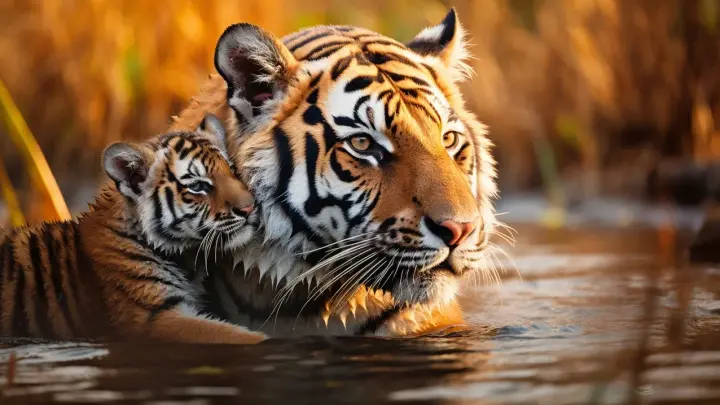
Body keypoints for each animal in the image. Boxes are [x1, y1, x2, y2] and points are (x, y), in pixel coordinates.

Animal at [0, 114, 267, 344]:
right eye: (199, 186)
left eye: (233, 171)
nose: (250, 207)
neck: (186, 257)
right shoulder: (153, 317)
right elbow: (244, 337)